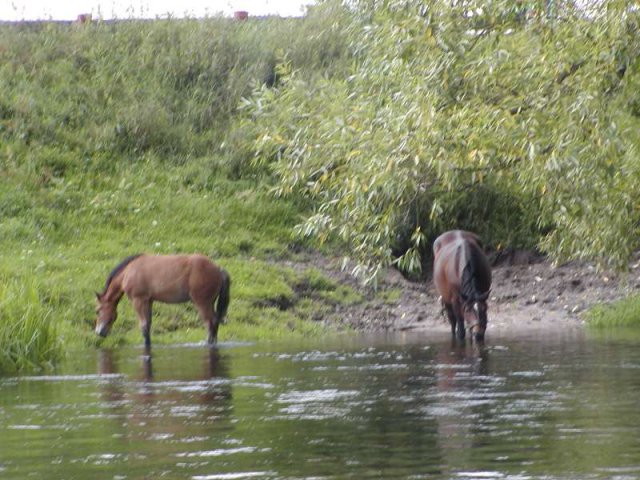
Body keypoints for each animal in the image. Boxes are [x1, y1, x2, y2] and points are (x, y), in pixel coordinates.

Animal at [96, 253, 231, 346]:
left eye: (97, 311)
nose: (99, 332)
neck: (129, 271)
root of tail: (218, 270)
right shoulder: (148, 301)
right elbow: (148, 325)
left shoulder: (138, 300)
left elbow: (143, 326)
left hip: (202, 303)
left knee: (210, 323)